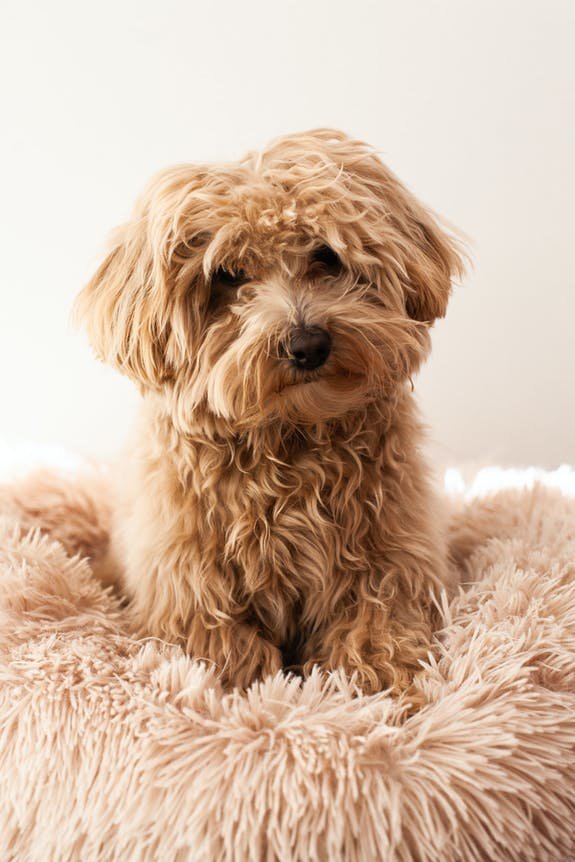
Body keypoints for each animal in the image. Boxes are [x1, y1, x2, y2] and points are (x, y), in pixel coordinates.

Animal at [75, 126, 464, 696]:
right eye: (228, 276)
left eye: (326, 256)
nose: (308, 344)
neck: (290, 436)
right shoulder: (183, 573)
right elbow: (212, 638)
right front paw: (241, 686)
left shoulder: (393, 545)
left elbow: (380, 612)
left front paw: (378, 674)